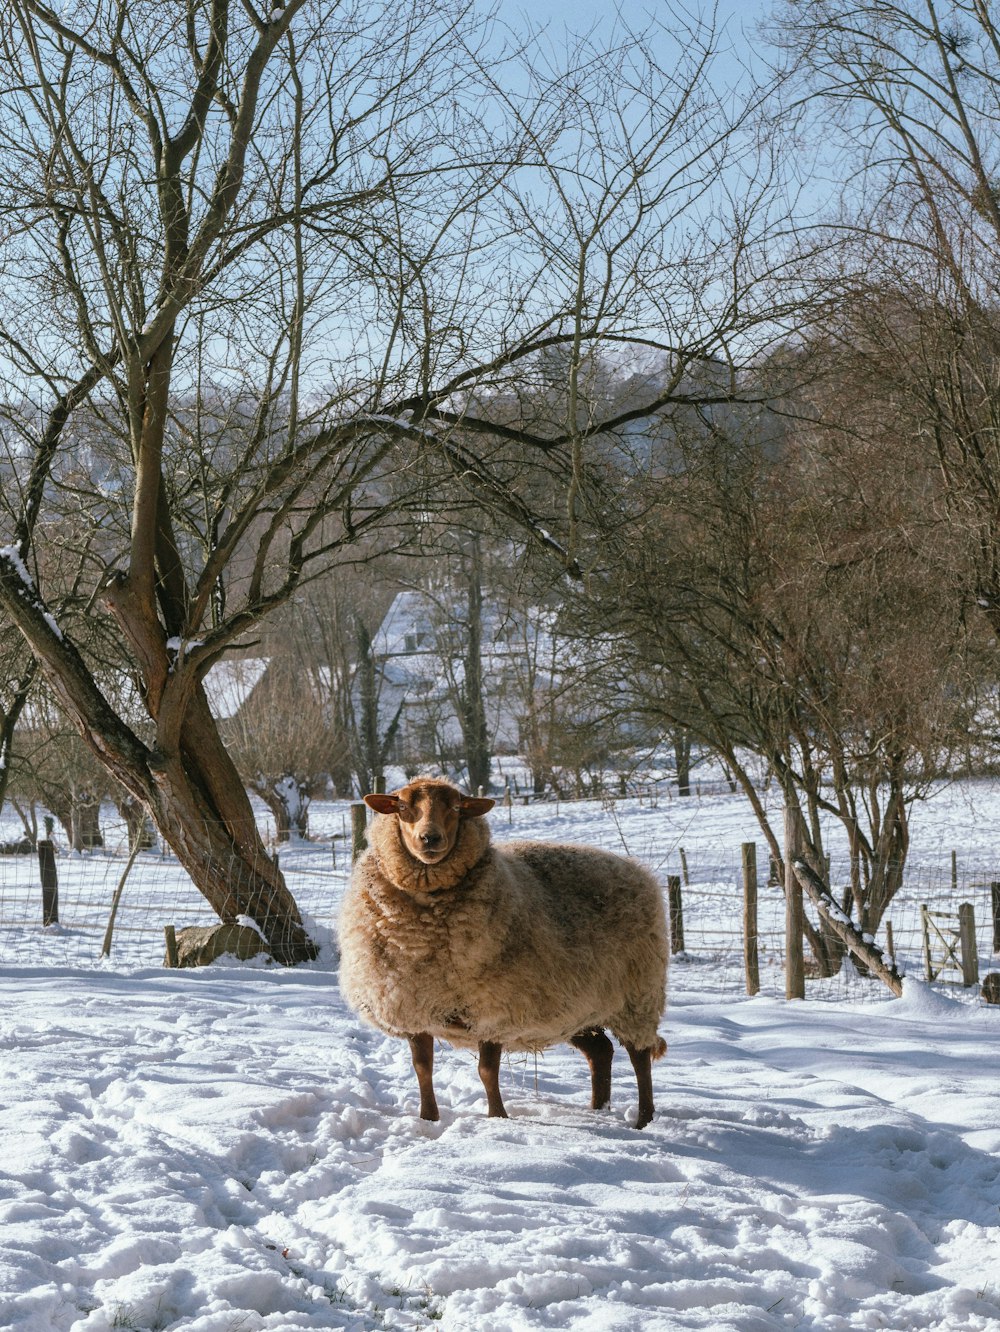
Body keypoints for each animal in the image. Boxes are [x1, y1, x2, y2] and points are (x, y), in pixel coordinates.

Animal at [338, 777, 673, 1129]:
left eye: (456, 807)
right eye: (402, 806)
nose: (430, 838)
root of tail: (639, 871)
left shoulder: (495, 1008)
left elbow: (487, 1071)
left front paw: (497, 1118)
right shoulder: (414, 1009)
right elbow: (422, 1069)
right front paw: (428, 1120)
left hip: (637, 995)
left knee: (639, 1056)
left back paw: (644, 1119)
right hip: (580, 1006)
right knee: (601, 1051)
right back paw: (597, 1110)